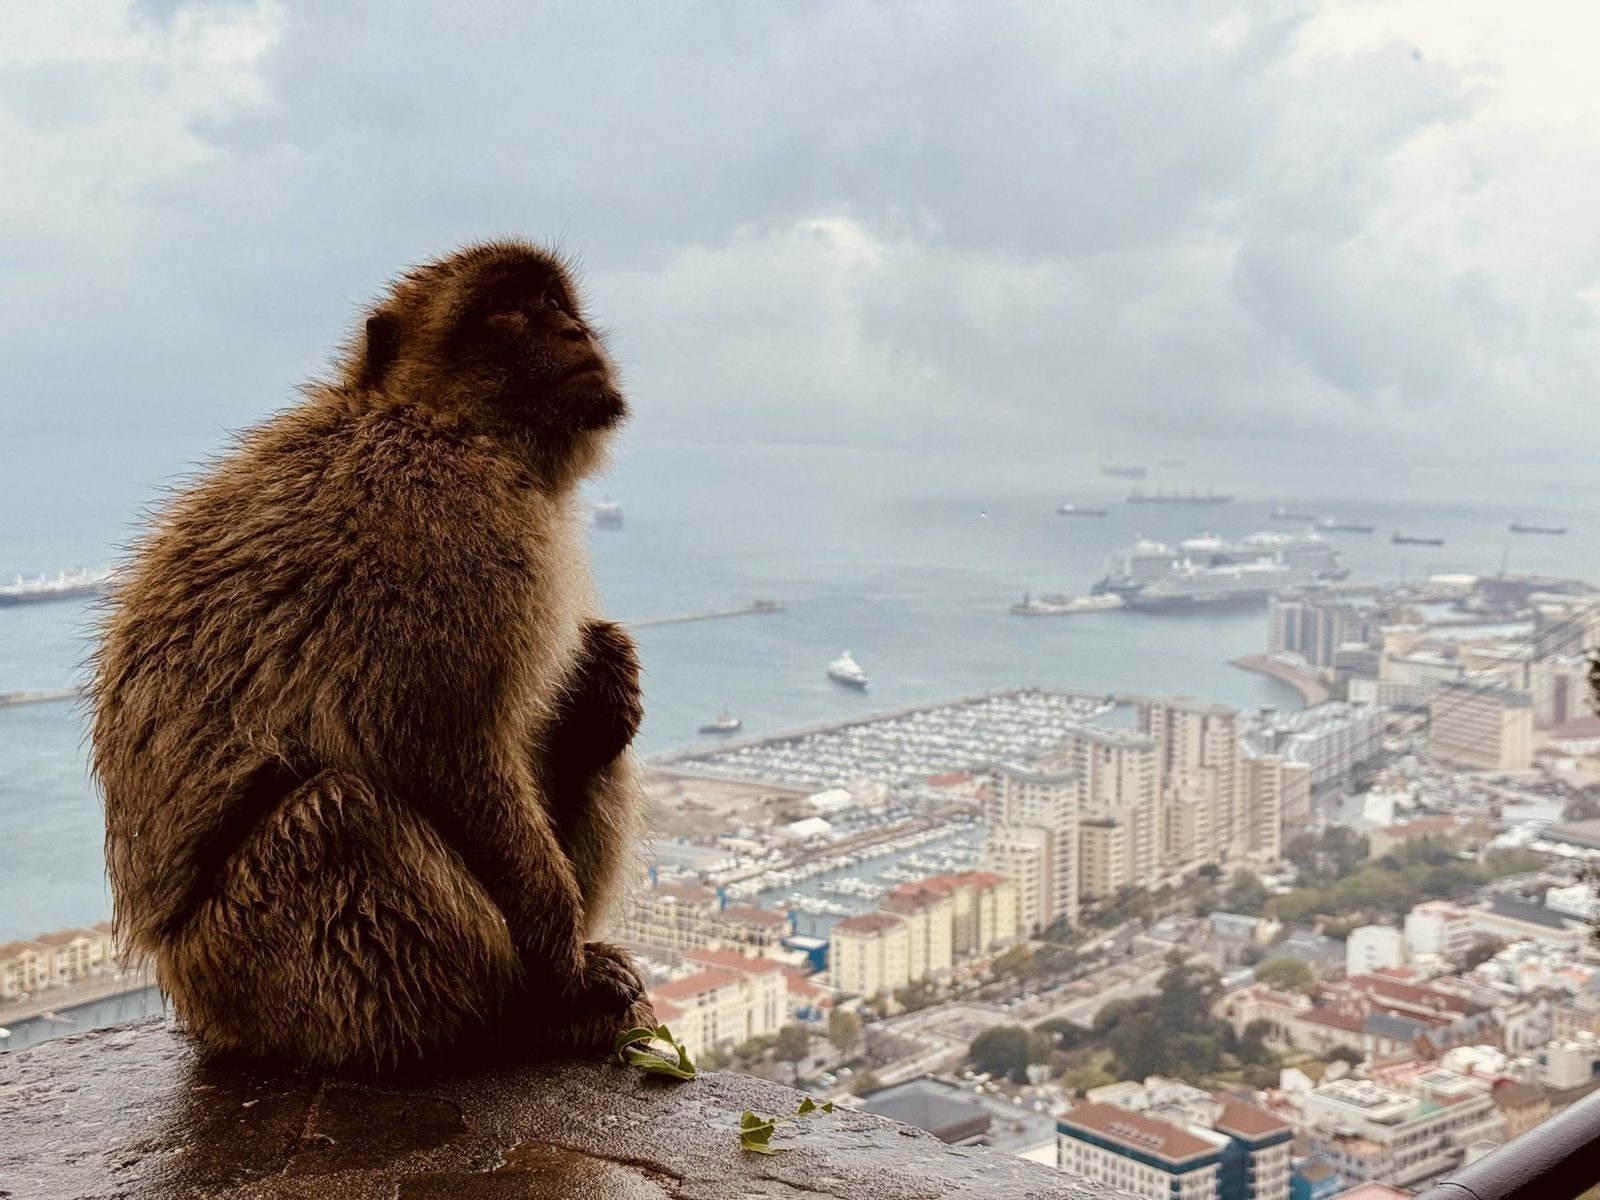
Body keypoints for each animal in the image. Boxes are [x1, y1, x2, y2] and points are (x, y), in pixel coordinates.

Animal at [90, 240, 656, 1072]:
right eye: (509, 309)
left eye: (558, 304)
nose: (576, 333)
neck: (449, 425)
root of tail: (191, 1000)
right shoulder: (436, 517)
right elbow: (431, 743)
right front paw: (565, 964)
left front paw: (608, 667)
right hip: (248, 968)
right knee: (342, 816)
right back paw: (522, 1021)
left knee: (592, 743)